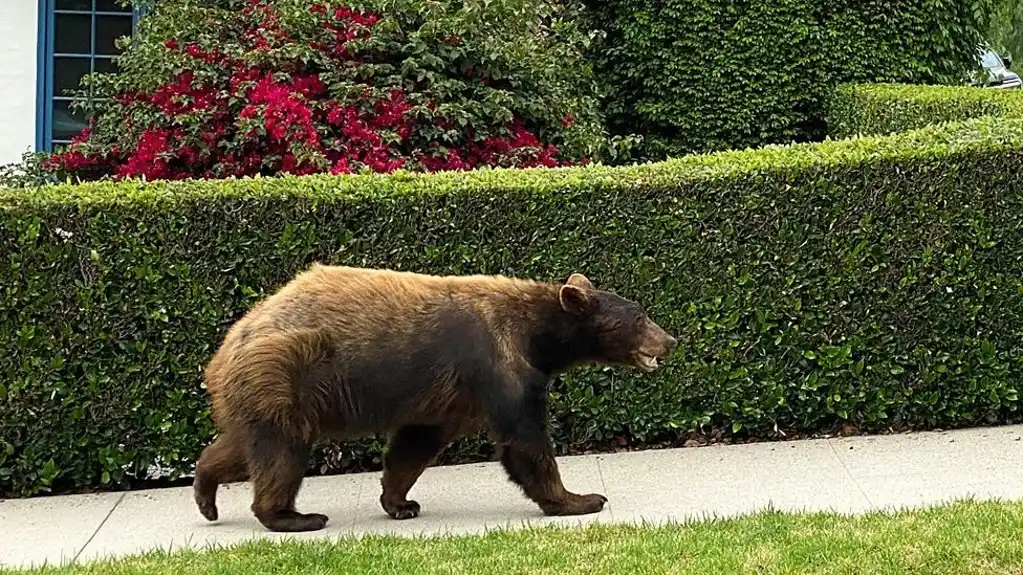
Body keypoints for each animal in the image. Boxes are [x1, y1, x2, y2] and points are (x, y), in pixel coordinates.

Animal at [192, 261, 679, 532]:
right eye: (640, 318)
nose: (671, 340)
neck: (537, 336)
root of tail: (224, 351)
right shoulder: (496, 365)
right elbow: (524, 440)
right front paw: (581, 499)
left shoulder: (446, 397)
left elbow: (416, 444)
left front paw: (401, 502)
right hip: (284, 375)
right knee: (282, 452)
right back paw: (295, 517)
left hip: (258, 393)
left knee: (243, 446)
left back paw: (207, 493)